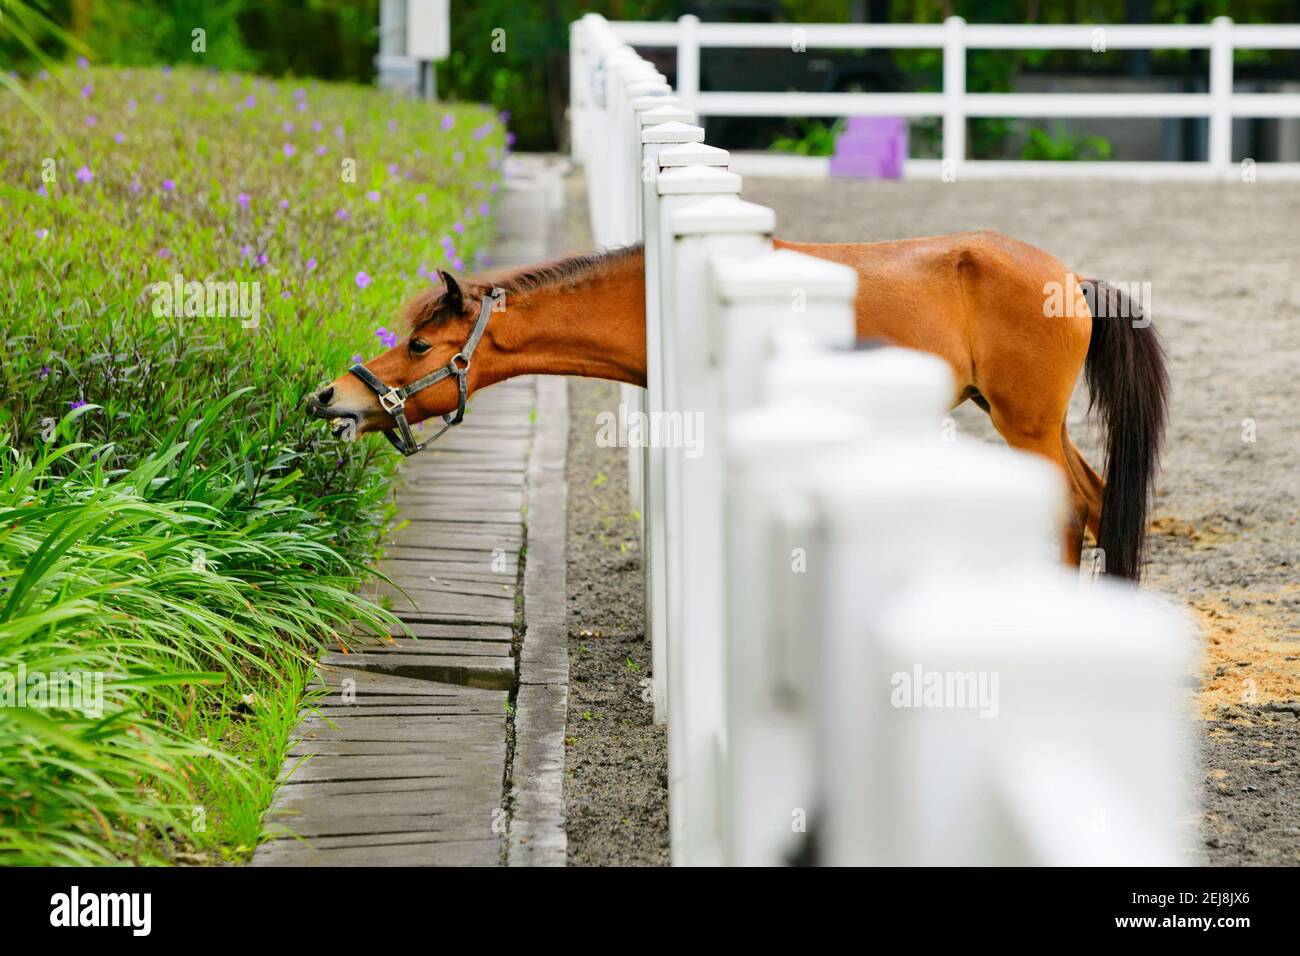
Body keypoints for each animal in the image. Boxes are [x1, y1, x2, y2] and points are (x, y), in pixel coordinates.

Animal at [306, 231, 1168, 580]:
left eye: (421, 345)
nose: (331, 396)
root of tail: (1072, 278)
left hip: (1027, 424)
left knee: (1070, 511)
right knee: (1098, 505)